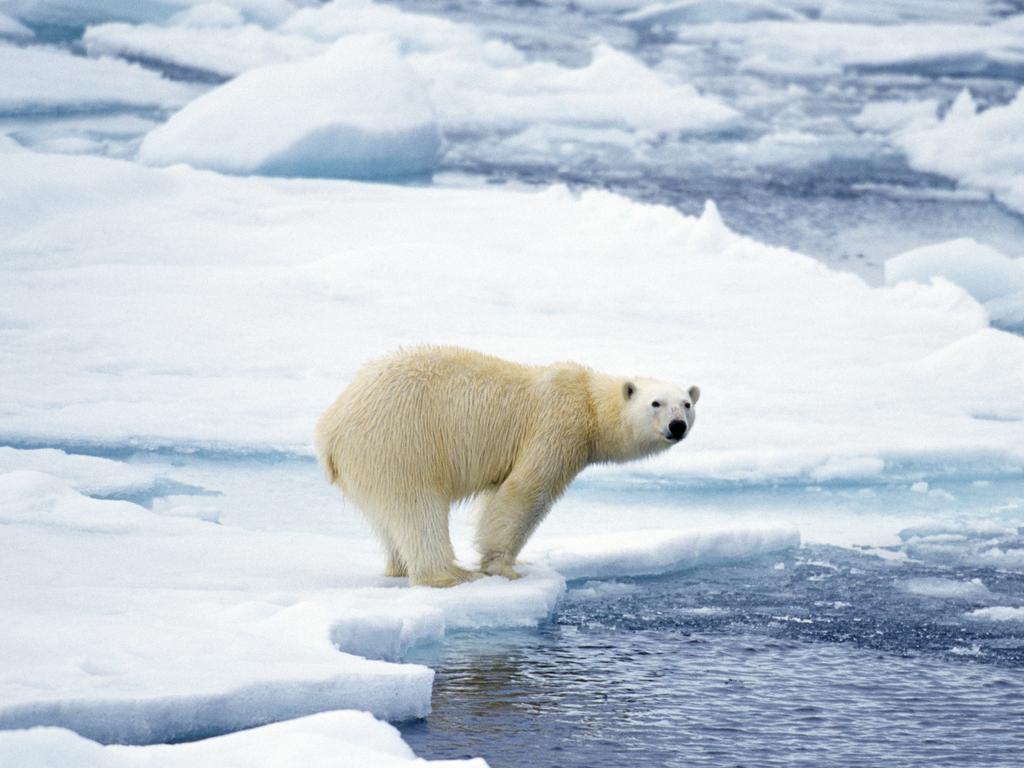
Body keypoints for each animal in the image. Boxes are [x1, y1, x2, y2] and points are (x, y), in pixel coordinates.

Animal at [313, 348, 696, 589]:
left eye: (687, 403)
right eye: (656, 403)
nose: (677, 426)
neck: (588, 401)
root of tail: (330, 428)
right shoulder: (555, 429)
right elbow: (525, 492)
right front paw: (505, 567)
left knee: (387, 519)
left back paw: (398, 567)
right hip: (401, 441)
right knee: (418, 508)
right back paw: (449, 574)